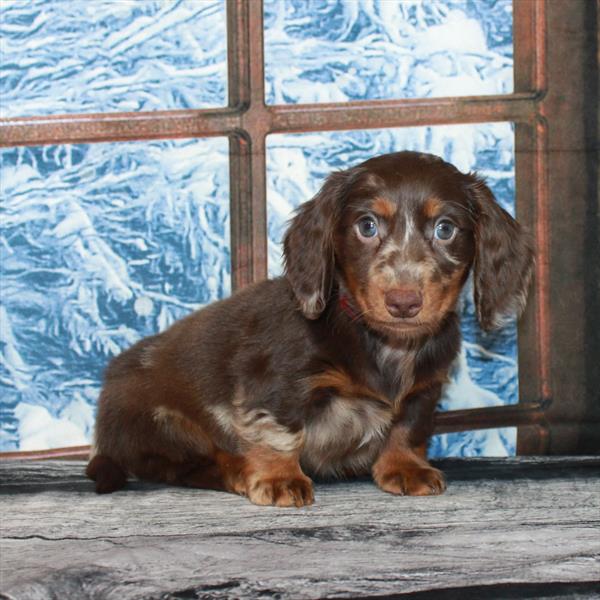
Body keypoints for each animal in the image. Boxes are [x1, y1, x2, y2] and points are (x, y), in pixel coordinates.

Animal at [86, 151, 532, 506]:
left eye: (445, 229)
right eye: (367, 225)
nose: (403, 302)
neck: (380, 341)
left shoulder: (425, 388)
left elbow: (408, 427)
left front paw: (405, 467)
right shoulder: (276, 383)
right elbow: (279, 431)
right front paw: (279, 478)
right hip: (162, 423)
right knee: (184, 466)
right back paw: (238, 470)